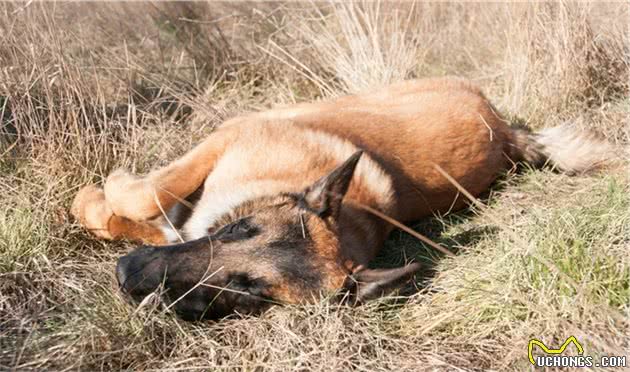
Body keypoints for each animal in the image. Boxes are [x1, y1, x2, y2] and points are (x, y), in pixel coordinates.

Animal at [70, 76, 616, 320]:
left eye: (248, 291)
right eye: (237, 230)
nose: (126, 276)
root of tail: (504, 132)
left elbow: (148, 213)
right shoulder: (223, 141)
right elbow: (145, 196)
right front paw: (104, 193)